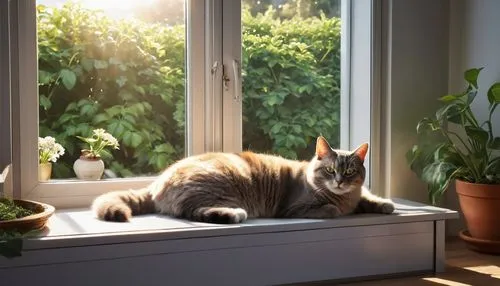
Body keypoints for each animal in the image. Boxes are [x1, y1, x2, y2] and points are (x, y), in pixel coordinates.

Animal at [93, 136, 394, 223]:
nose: (340, 181)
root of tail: (157, 181)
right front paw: (336, 208)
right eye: (331, 171)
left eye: (350, 172)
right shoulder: (296, 208)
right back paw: (234, 214)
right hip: (219, 187)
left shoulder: (356, 197)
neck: (344, 198)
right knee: (192, 211)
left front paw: (385, 204)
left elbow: (368, 199)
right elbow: (331, 209)